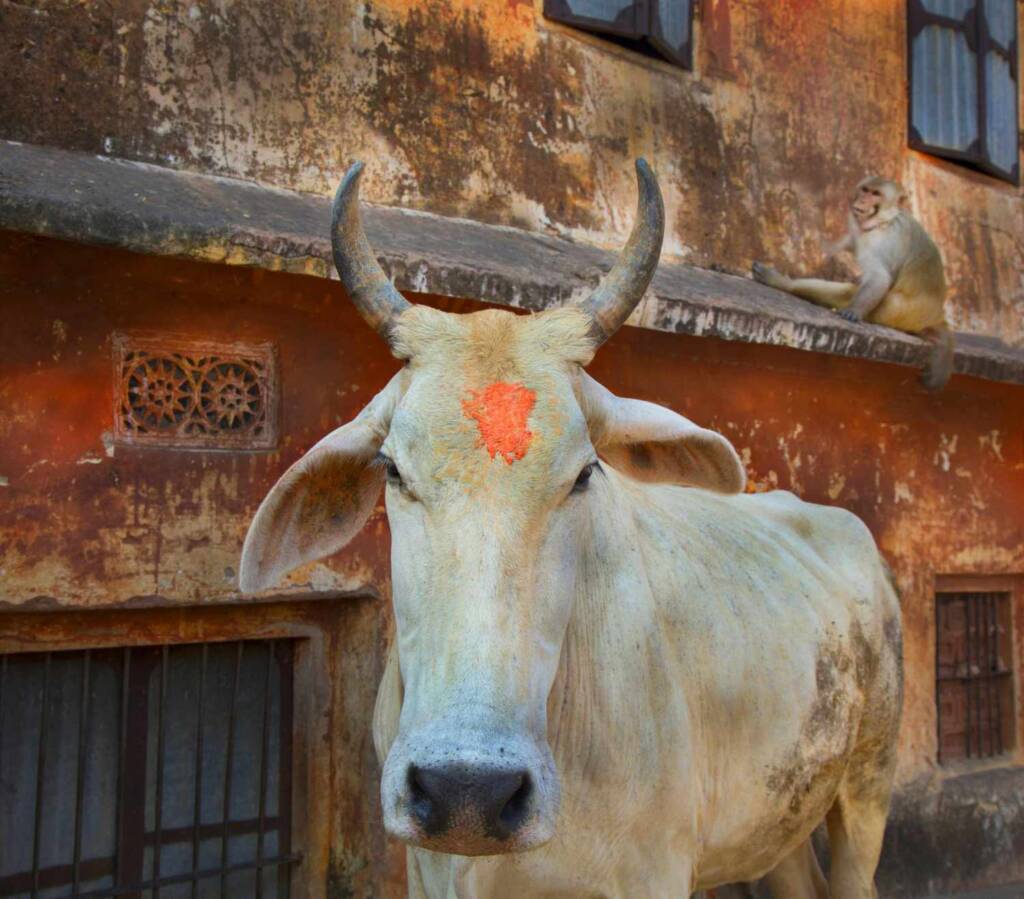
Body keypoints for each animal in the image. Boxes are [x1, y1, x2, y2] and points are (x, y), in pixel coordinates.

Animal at [239, 160, 903, 899]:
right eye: (392, 468)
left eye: (585, 473)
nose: (467, 791)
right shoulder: (424, 868)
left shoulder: (654, 871)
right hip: (777, 816)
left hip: (868, 783)